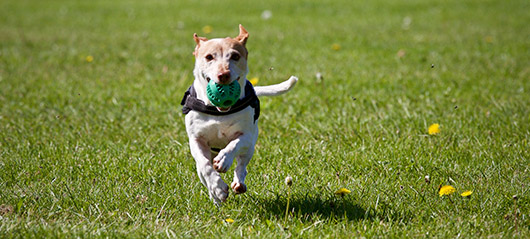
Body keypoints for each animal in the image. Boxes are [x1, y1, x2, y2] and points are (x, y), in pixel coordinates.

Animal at [180, 24, 296, 204]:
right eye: (209, 57)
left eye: (235, 56)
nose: (223, 75)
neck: (218, 112)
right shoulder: (196, 140)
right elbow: (205, 166)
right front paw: (218, 188)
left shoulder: (246, 136)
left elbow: (234, 145)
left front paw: (224, 160)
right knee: (203, 171)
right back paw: (215, 197)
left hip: (250, 148)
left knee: (242, 165)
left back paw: (238, 183)